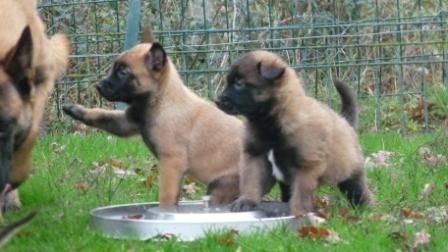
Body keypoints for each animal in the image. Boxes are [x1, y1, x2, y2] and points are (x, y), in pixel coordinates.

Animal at [62, 29, 260, 211]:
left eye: (123, 72)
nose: (99, 86)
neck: (161, 99)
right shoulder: (127, 122)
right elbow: (101, 115)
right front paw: (75, 110)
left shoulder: (171, 162)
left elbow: (166, 195)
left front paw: (164, 214)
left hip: (222, 186)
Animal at [215, 50, 372, 216]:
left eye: (239, 83)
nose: (217, 101)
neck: (270, 122)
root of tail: (345, 120)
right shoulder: (254, 155)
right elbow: (252, 181)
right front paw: (246, 201)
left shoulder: (306, 166)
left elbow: (301, 193)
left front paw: (298, 212)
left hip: (350, 174)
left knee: (359, 192)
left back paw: (365, 211)